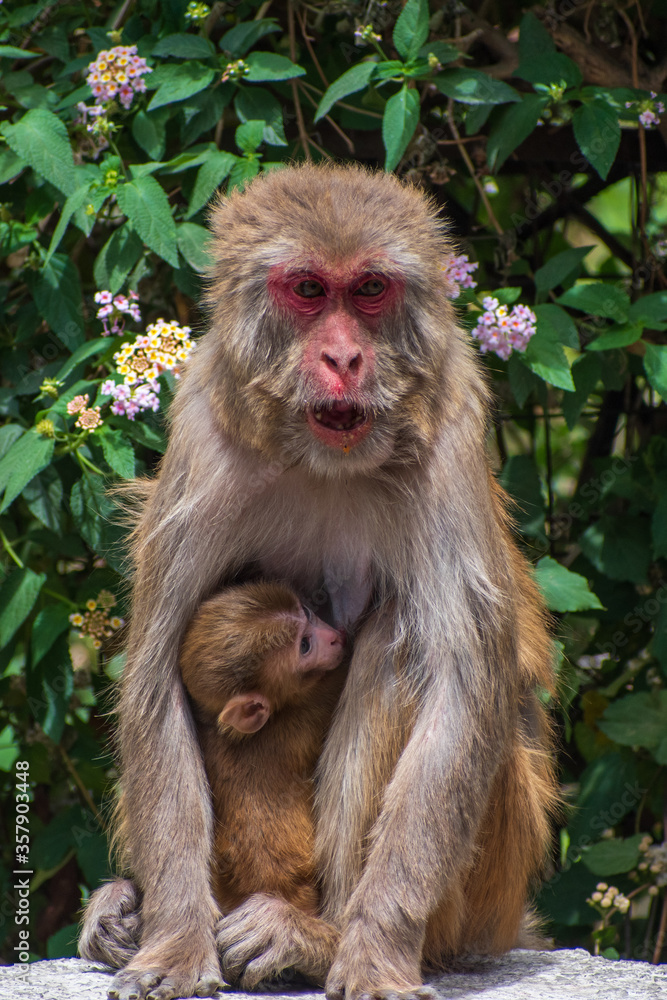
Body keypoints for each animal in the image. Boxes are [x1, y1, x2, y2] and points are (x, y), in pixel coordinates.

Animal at [79, 164, 558, 1000]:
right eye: (307, 289)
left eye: (367, 289)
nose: (343, 360)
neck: (322, 460)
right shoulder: (203, 427)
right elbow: (154, 678)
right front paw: (174, 939)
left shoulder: (454, 421)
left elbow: (464, 688)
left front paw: (370, 946)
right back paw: (125, 911)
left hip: (488, 882)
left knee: (403, 641)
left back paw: (314, 935)